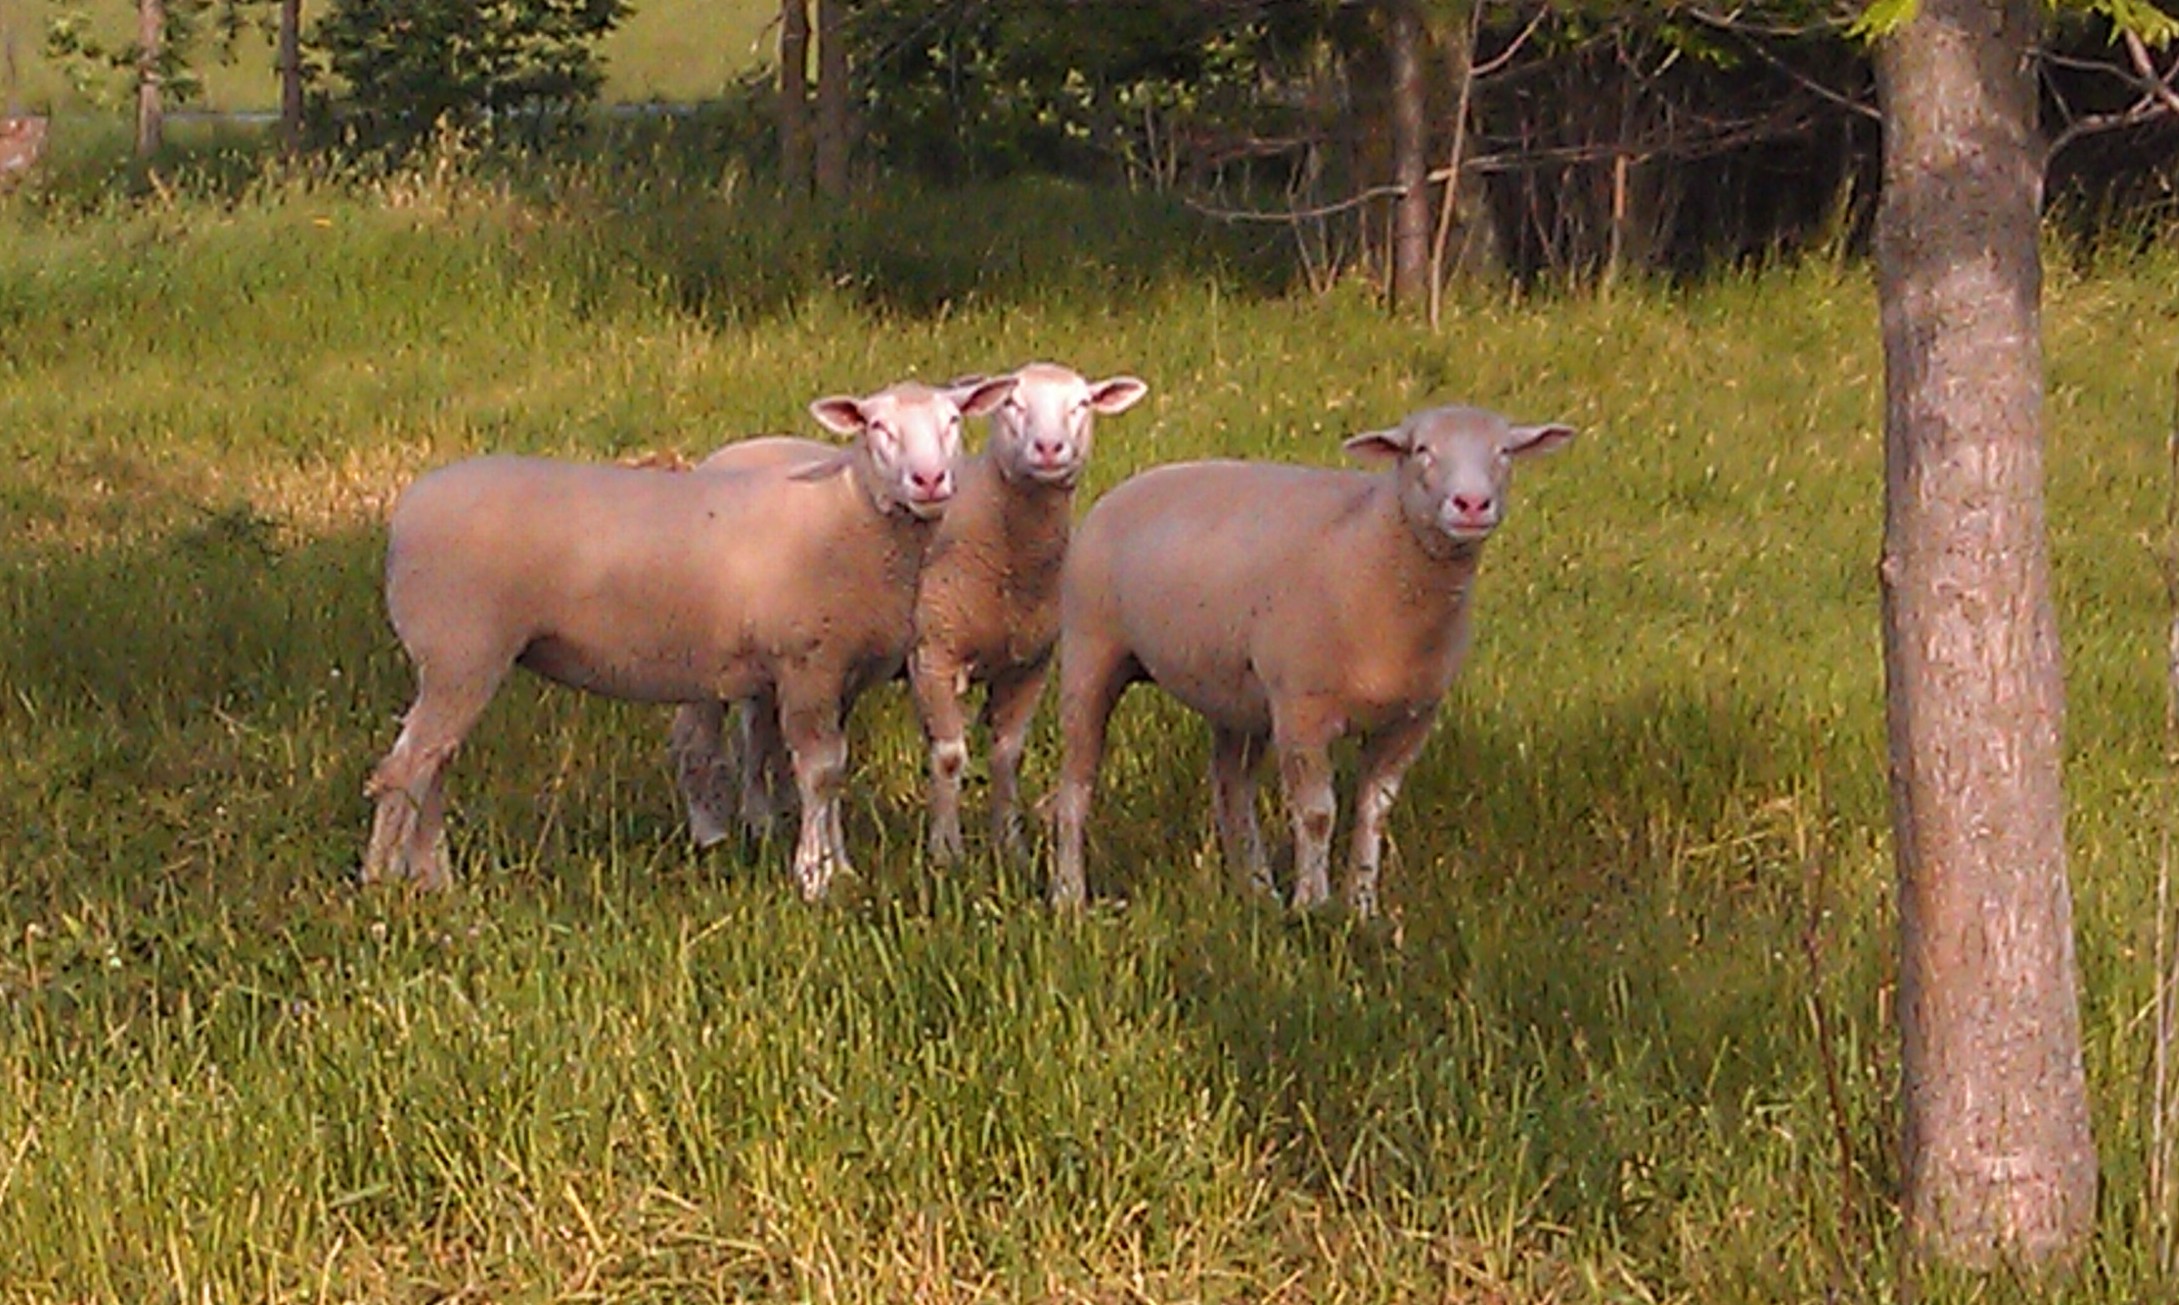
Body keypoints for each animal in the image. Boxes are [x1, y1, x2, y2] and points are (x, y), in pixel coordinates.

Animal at [362, 376, 1018, 899]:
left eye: (953, 421)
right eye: (878, 427)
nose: (929, 480)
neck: (850, 513)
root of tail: (407, 510)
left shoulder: (842, 672)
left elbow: (834, 769)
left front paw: (841, 867)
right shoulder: (807, 662)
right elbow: (820, 773)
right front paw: (814, 880)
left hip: (459, 660)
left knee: (433, 762)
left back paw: (432, 876)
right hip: (460, 649)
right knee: (405, 766)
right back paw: (382, 883)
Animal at [671, 362, 1150, 862]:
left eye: (1082, 404)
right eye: (1012, 404)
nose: (1050, 449)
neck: (1007, 551)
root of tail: (727, 453)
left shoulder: (1028, 664)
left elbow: (1007, 756)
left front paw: (1010, 846)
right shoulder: (933, 655)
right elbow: (949, 756)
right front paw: (945, 852)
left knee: (755, 732)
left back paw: (763, 820)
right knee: (696, 737)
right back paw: (712, 830)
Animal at [1048, 403, 1575, 917]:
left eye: (1504, 452)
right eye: (1421, 450)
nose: (1471, 504)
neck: (1378, 543)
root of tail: (1136, 482)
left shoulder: (1411, 720)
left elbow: (1374, 812)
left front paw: (1362, 907)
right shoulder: (1302, 707)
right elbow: (1318, 814)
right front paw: (1312, 905)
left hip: (1236, 696)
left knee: (1231, 787)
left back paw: (1256, 890)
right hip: (1090, 651)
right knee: (1076, 787)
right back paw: (1070, 895)